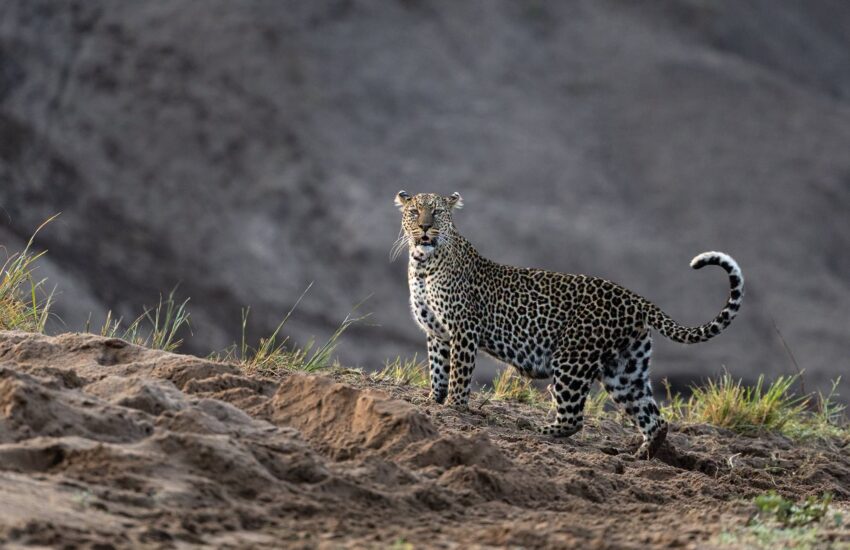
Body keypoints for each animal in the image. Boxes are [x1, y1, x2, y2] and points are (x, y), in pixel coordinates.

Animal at [393, 191, 744, 459]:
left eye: (437, 213)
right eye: (414, 212)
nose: (425, 228)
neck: (423, 264)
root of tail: (635, 298)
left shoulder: (463, 330)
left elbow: (459, 374)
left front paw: (454, 406)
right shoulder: (437, 333)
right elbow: (438, 369)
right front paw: (433, 401)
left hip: (572, 359)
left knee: (574, 417)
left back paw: (537, 429)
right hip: (625, 370)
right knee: (654, 420)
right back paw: (641, 455)